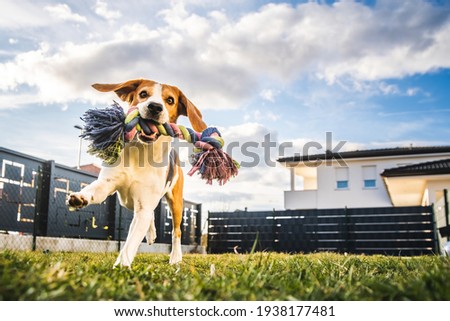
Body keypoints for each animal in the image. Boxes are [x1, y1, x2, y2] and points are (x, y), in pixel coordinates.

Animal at [67, 79, 207, 266]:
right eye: (143, 94)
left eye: (170, 100)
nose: (155, 107)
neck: (141, 152)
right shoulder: (108, 184)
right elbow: (94, 190)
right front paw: (80, 197)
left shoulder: (144, 207)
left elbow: (130, 243)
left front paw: (121, 265)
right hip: (129, 202)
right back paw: (152, 233)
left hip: (176, 203)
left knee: (176, 231)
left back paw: (176, 257)